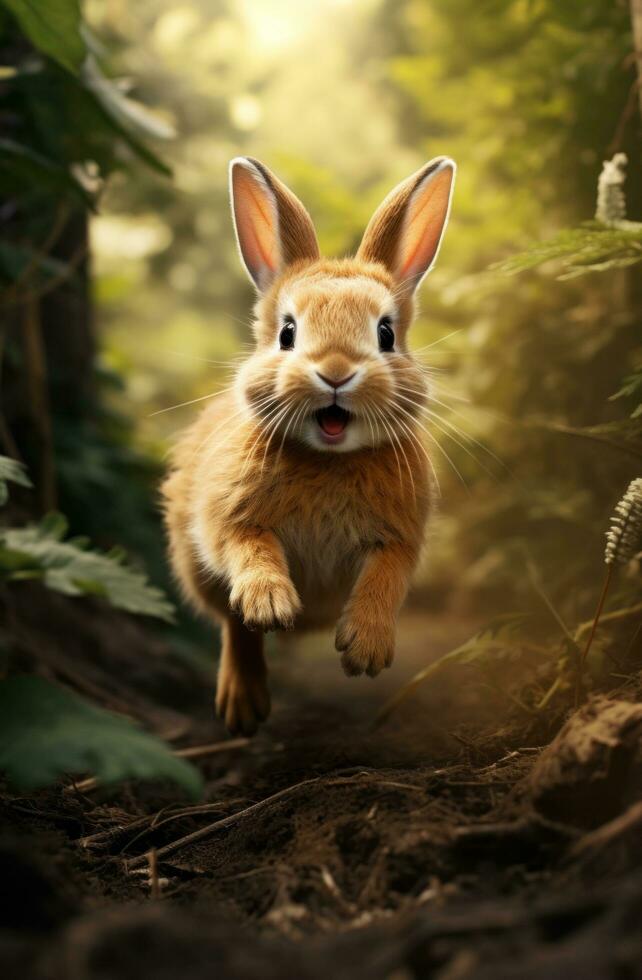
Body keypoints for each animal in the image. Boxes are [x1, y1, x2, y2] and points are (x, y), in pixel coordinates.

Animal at [162, 153, 452, 736]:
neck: (328, 458)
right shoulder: (228, 518)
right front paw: (272, 605)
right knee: (235, 628)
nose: (336, 372)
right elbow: (248, 550)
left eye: (386, 334)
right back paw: (243, 707)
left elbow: (386, 577)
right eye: (288, 333)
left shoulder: (400, 539)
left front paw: (365, 649)